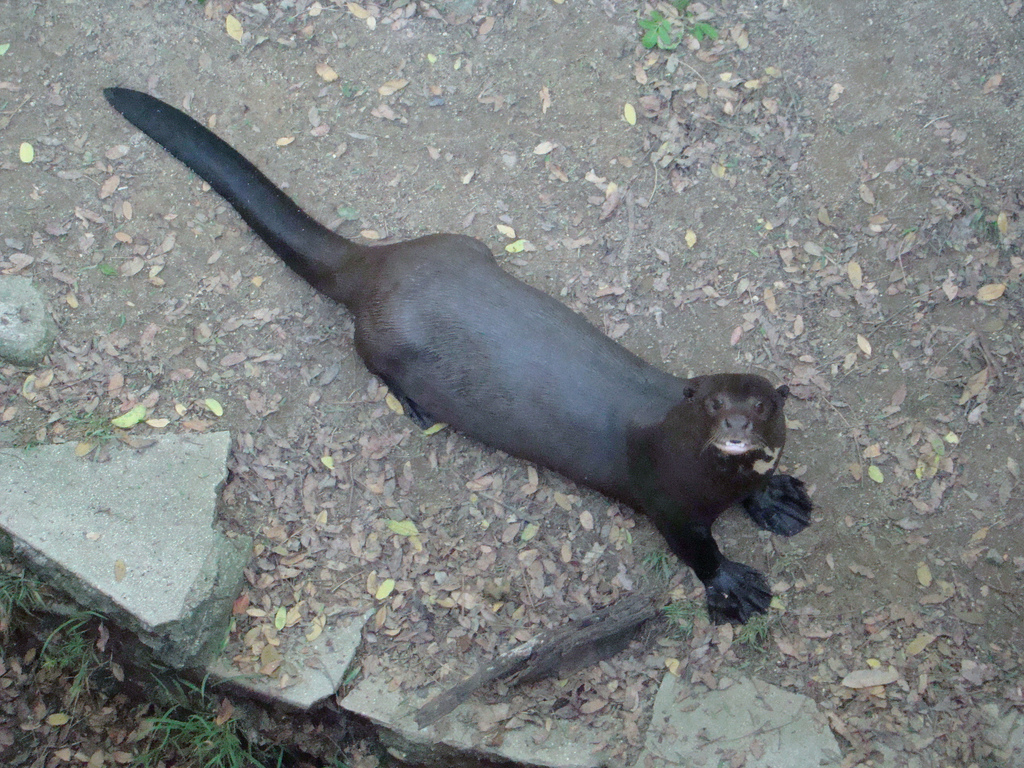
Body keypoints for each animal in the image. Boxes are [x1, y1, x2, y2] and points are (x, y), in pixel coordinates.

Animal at [103, 87, 812, 623]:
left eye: (762, 407)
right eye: (713, 404)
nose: (736, 427)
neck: (698, 467)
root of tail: (379, 264)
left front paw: (779, 499)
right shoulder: (666, 499)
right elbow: (697, 553)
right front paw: (735, 587)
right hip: (382, 340)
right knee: (369, 360)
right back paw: (416, 408)